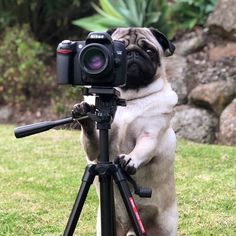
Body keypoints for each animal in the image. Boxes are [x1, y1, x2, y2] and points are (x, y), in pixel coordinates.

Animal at [73, 28, 178, 236]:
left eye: (149, 50)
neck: (130, 100)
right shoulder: (96, 151)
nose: (133, 53)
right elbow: (92, 139)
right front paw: (84, 115)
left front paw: (130, 159)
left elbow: (142, 149)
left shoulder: (149, 135)